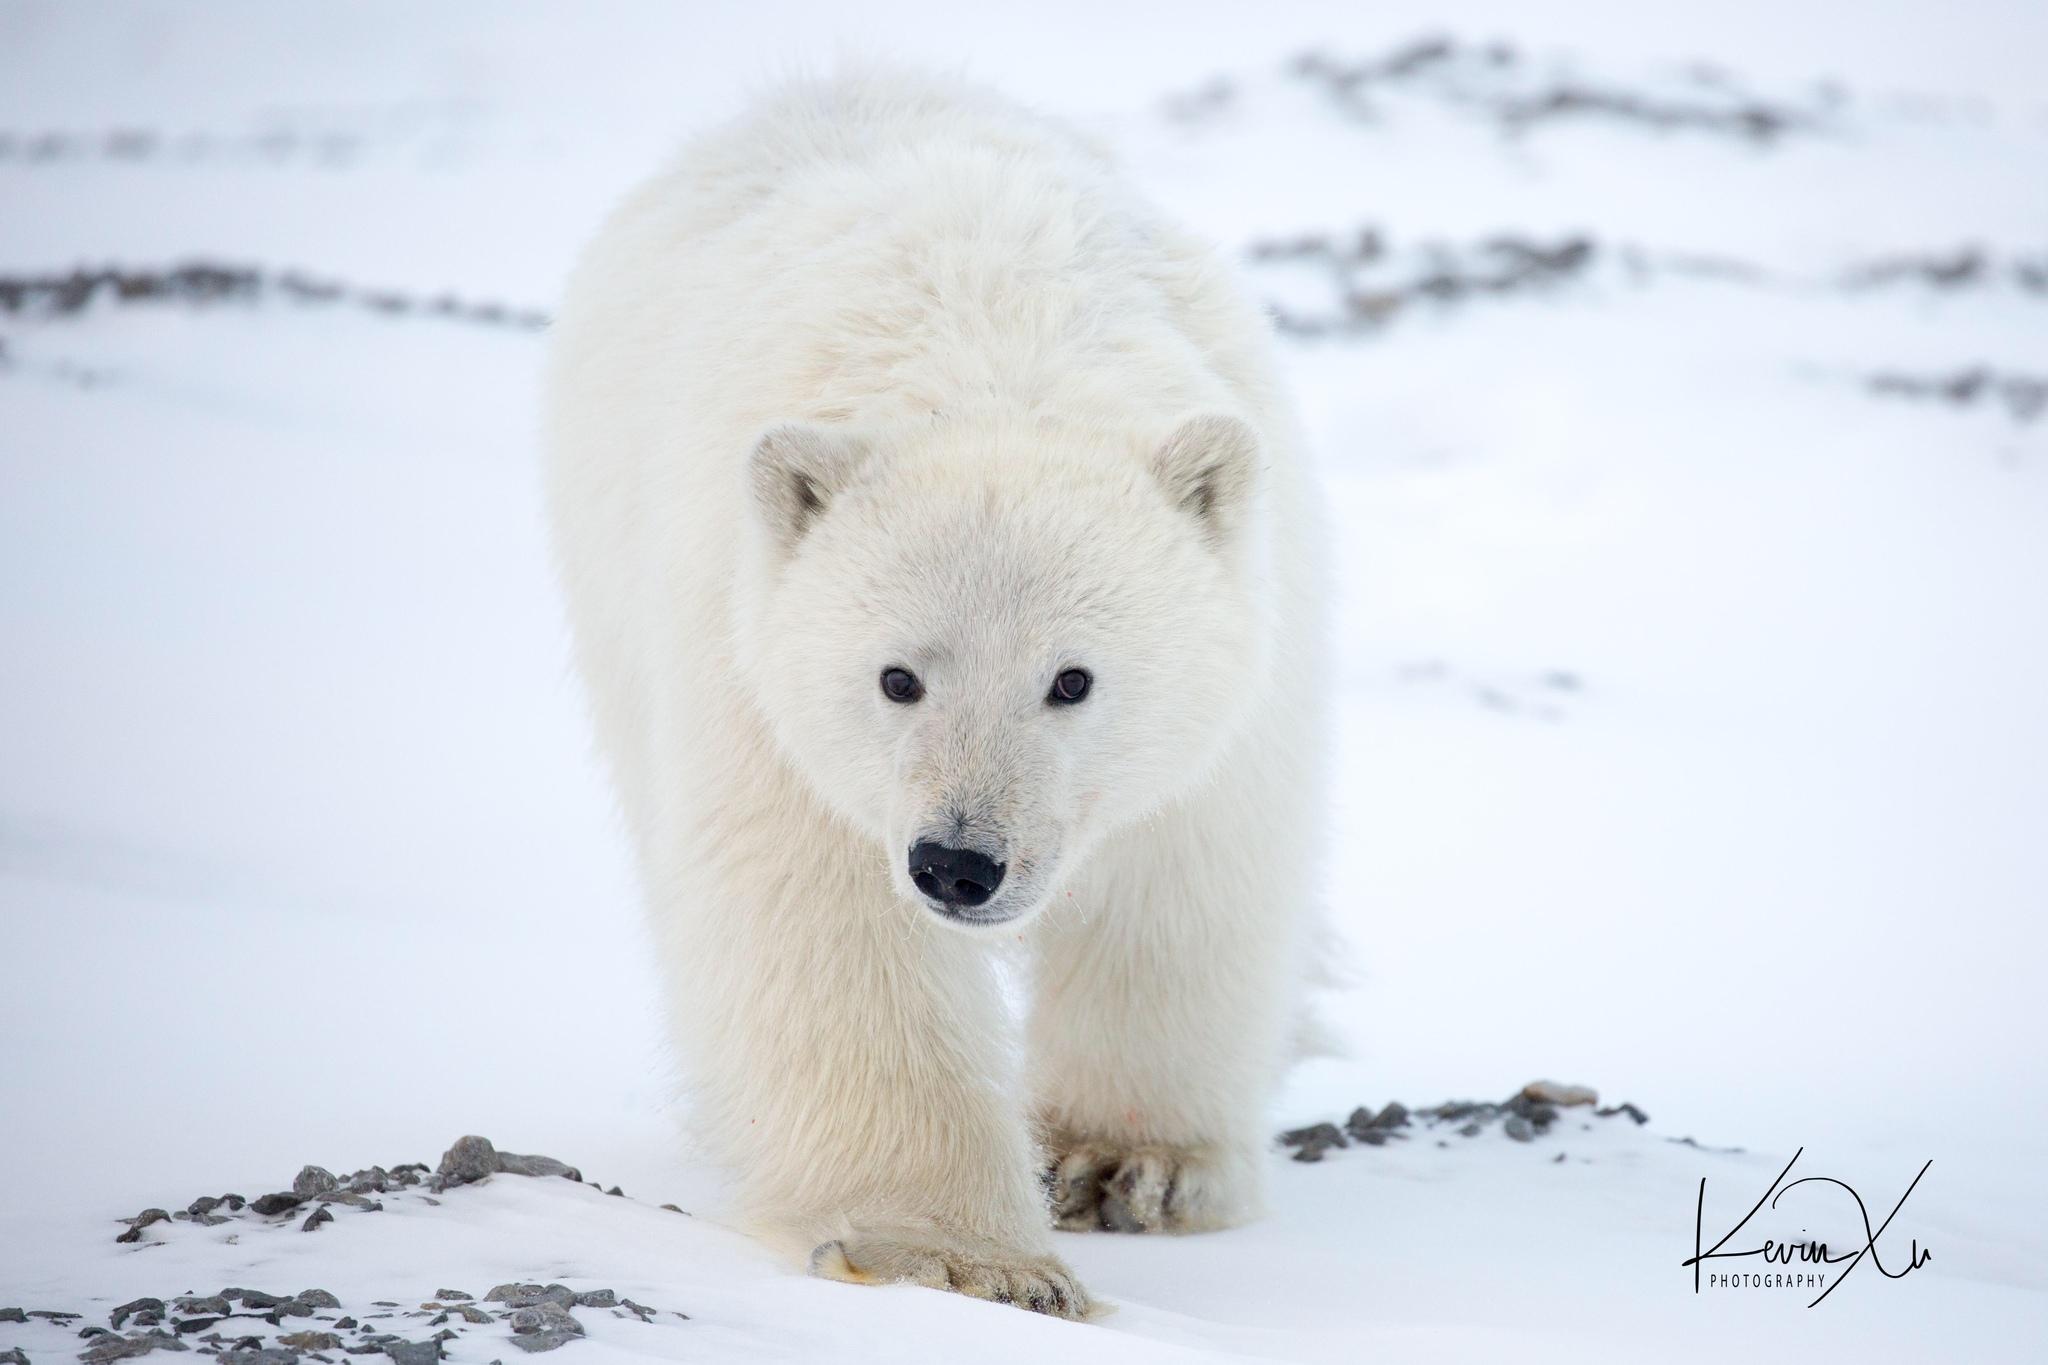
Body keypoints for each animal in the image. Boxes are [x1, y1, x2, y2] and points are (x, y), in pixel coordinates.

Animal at [544, 70, 1327, 1319]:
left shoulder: (1239, 673)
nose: (958, 865)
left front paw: (1127, 1163)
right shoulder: (755, 670)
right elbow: (831, 924)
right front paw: (959, 1257)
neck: (993, 349)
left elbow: (1181, 882)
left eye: (1072, 678)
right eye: (897, 675)